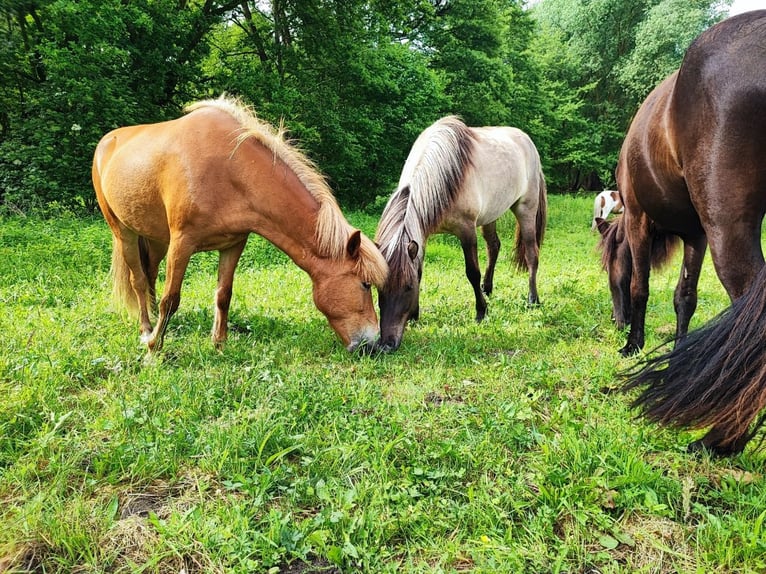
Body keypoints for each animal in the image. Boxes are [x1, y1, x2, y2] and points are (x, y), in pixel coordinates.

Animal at [92, 95, 388, 354]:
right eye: (365, 284)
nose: (372, 346)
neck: (229, 170)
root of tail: (107, 141)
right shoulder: (182, 244)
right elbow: (171, 298)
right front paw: (154, 349)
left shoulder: (233, 244)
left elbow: (224, 294)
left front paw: (219, 344)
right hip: (124, 233)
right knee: (139, 280)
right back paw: (146, 329)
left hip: (155, 239)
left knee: (150, 273)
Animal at [374, 115, 547, 352]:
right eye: (378, 288)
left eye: (408, 288)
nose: (386, 345)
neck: (445, 177)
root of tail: (526, 140)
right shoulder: (422, 237)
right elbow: (420, 270)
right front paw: (415, 315)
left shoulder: (466, 231)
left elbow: (472, 272)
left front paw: (481, 311)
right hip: (491, 215)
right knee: (494, 246)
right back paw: (488, 288)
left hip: (525, 209)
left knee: (531, 254)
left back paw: (532, 299)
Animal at [597, 10, 766, 359]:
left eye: (609, 269)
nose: (617, 322)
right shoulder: (696, 235)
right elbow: (685, 296)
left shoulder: (638, 219)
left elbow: (639, 285)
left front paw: (633, 343)